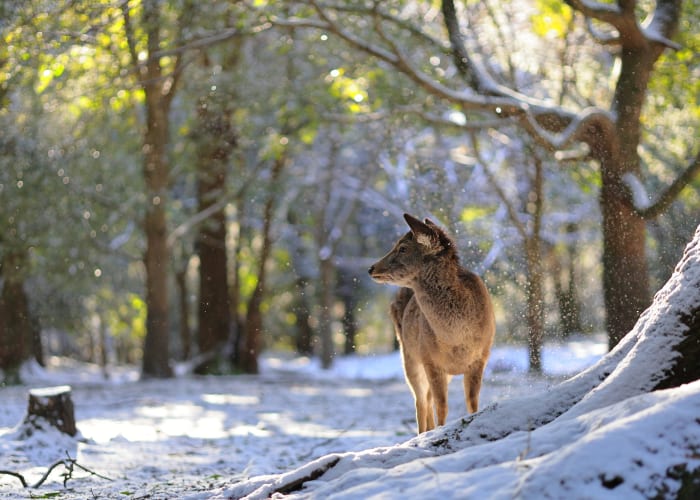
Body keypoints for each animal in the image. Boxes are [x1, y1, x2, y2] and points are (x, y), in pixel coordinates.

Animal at [370, 214, 494, 434]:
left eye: (403, 248)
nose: (371, 268)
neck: (456, 338)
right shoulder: (430, 359)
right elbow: (441, 406)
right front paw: (440, 432)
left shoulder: (481, 357)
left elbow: (472, 402)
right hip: (409, 356)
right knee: (420, 401)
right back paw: (422, 434)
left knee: (426, 399)